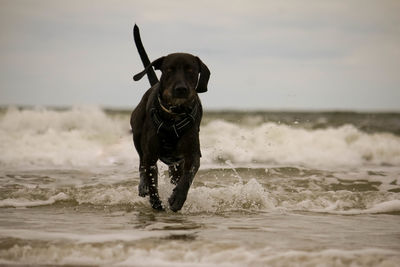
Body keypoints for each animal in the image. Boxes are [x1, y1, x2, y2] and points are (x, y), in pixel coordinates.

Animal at [131, 25, 212, 214]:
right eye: (169, 70)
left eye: (191, 70)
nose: (181, 89)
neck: (174, 115)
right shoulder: (151, 156)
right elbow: (152, 181)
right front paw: (156, 205)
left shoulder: (192, 154)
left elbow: (187, 177)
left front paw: (177, 198)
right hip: (137, 135)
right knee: (141, 164)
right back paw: (143, 185)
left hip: (175, 163)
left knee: (176, 175)